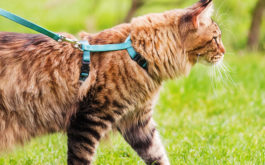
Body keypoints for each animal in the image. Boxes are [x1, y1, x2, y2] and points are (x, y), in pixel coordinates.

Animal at [0, 0, 224, 164]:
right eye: (215, 39)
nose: (223, 52)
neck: (137, 52)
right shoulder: (89, 120)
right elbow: (81, 159)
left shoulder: (138, 120)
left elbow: (157, 154)